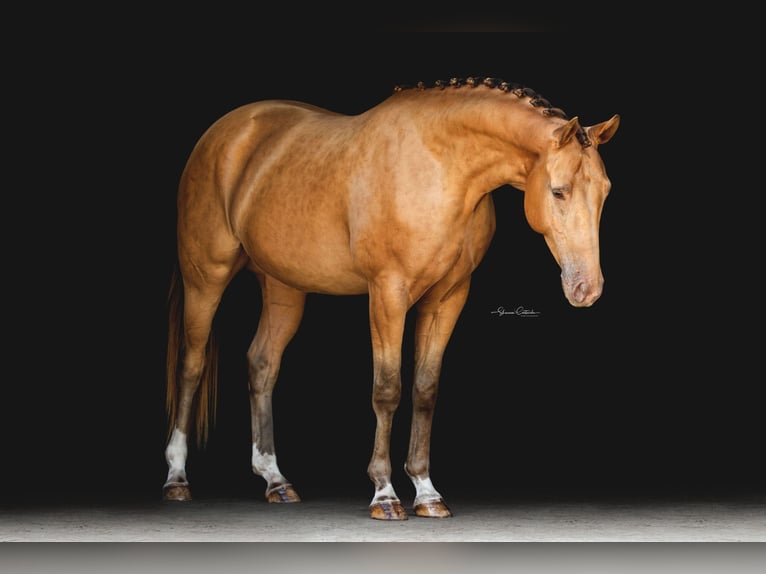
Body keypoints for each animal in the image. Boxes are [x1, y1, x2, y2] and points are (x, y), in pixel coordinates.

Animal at [165, 76, 620, 520]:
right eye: (559, 191)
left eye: (605, 191)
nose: (587, 288)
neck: (440, 167)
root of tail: (225, 132)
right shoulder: (387, 293)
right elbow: (387, 390)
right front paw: (384, 494)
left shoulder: (447, 298)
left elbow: (424, 389)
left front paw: (426, 492)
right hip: (205, 278)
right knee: (192, 365)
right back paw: (177, 478)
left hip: (283, 288)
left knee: (262, 365)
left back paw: (276, 480)